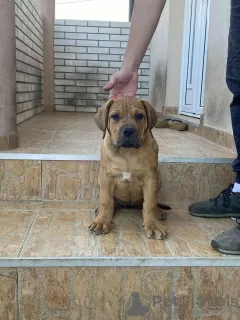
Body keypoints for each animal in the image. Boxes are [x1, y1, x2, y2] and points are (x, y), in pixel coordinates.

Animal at [88, 96, 169, 239]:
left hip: (158, 178)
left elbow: (150, 203)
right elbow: (105, 201)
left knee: (146, 203)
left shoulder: (150, 177)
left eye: (139, 116)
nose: (128, 130)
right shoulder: (106, 177)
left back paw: (159, 211)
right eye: (115, 116)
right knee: (113, 202)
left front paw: (153, 225)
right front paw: (101, 221)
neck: (127, 151)